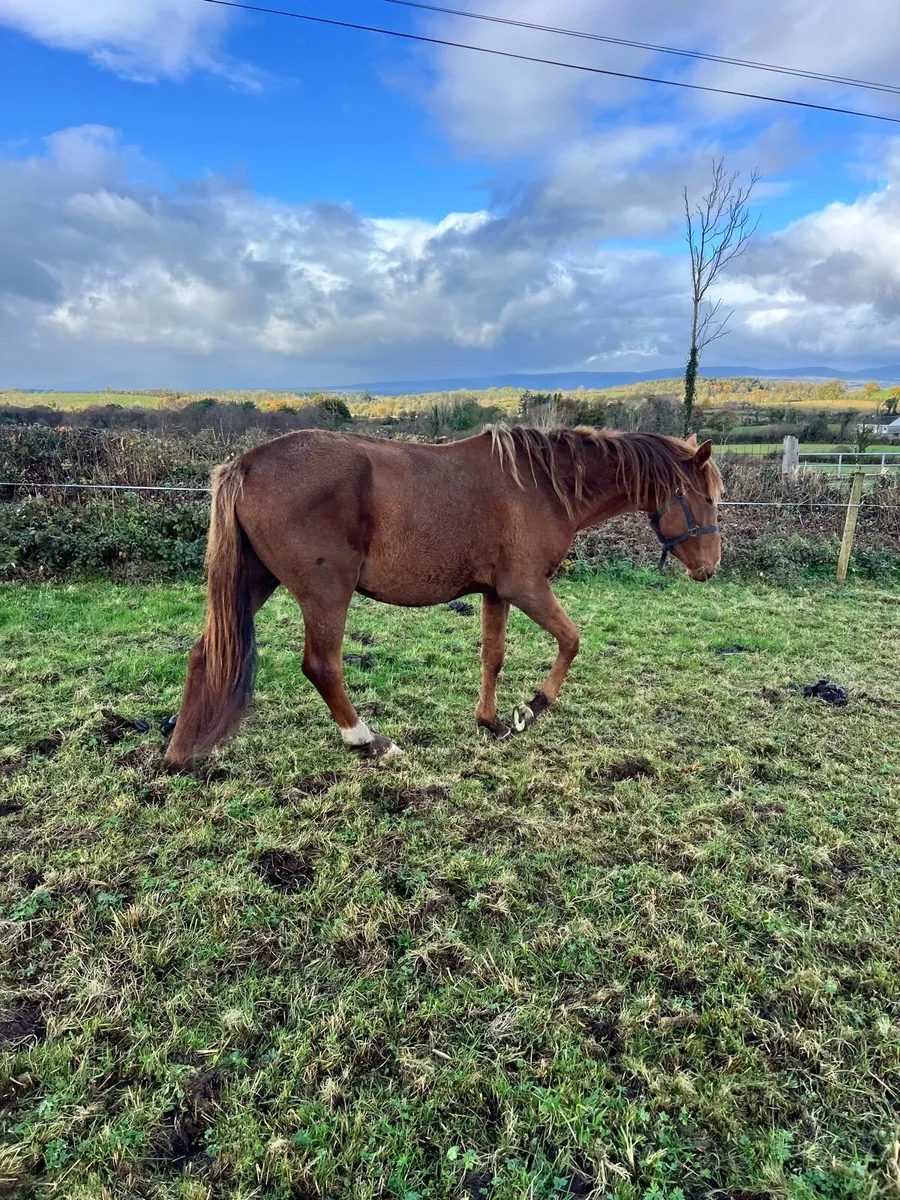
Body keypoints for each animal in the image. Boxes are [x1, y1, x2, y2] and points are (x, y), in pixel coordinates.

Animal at [164, 425, 721, 768]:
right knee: (322, 665)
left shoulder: (496, 592)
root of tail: (247, 464)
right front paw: (531, 707)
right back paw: (367, 740)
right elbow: (571, 640)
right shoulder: (527, 587)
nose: (709, 568)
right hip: (325, 594)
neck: (543, 485)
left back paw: (182, 749)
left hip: (254, 581)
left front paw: (491, 721)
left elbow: (493, 655)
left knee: (205, 652)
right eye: (706, 496)